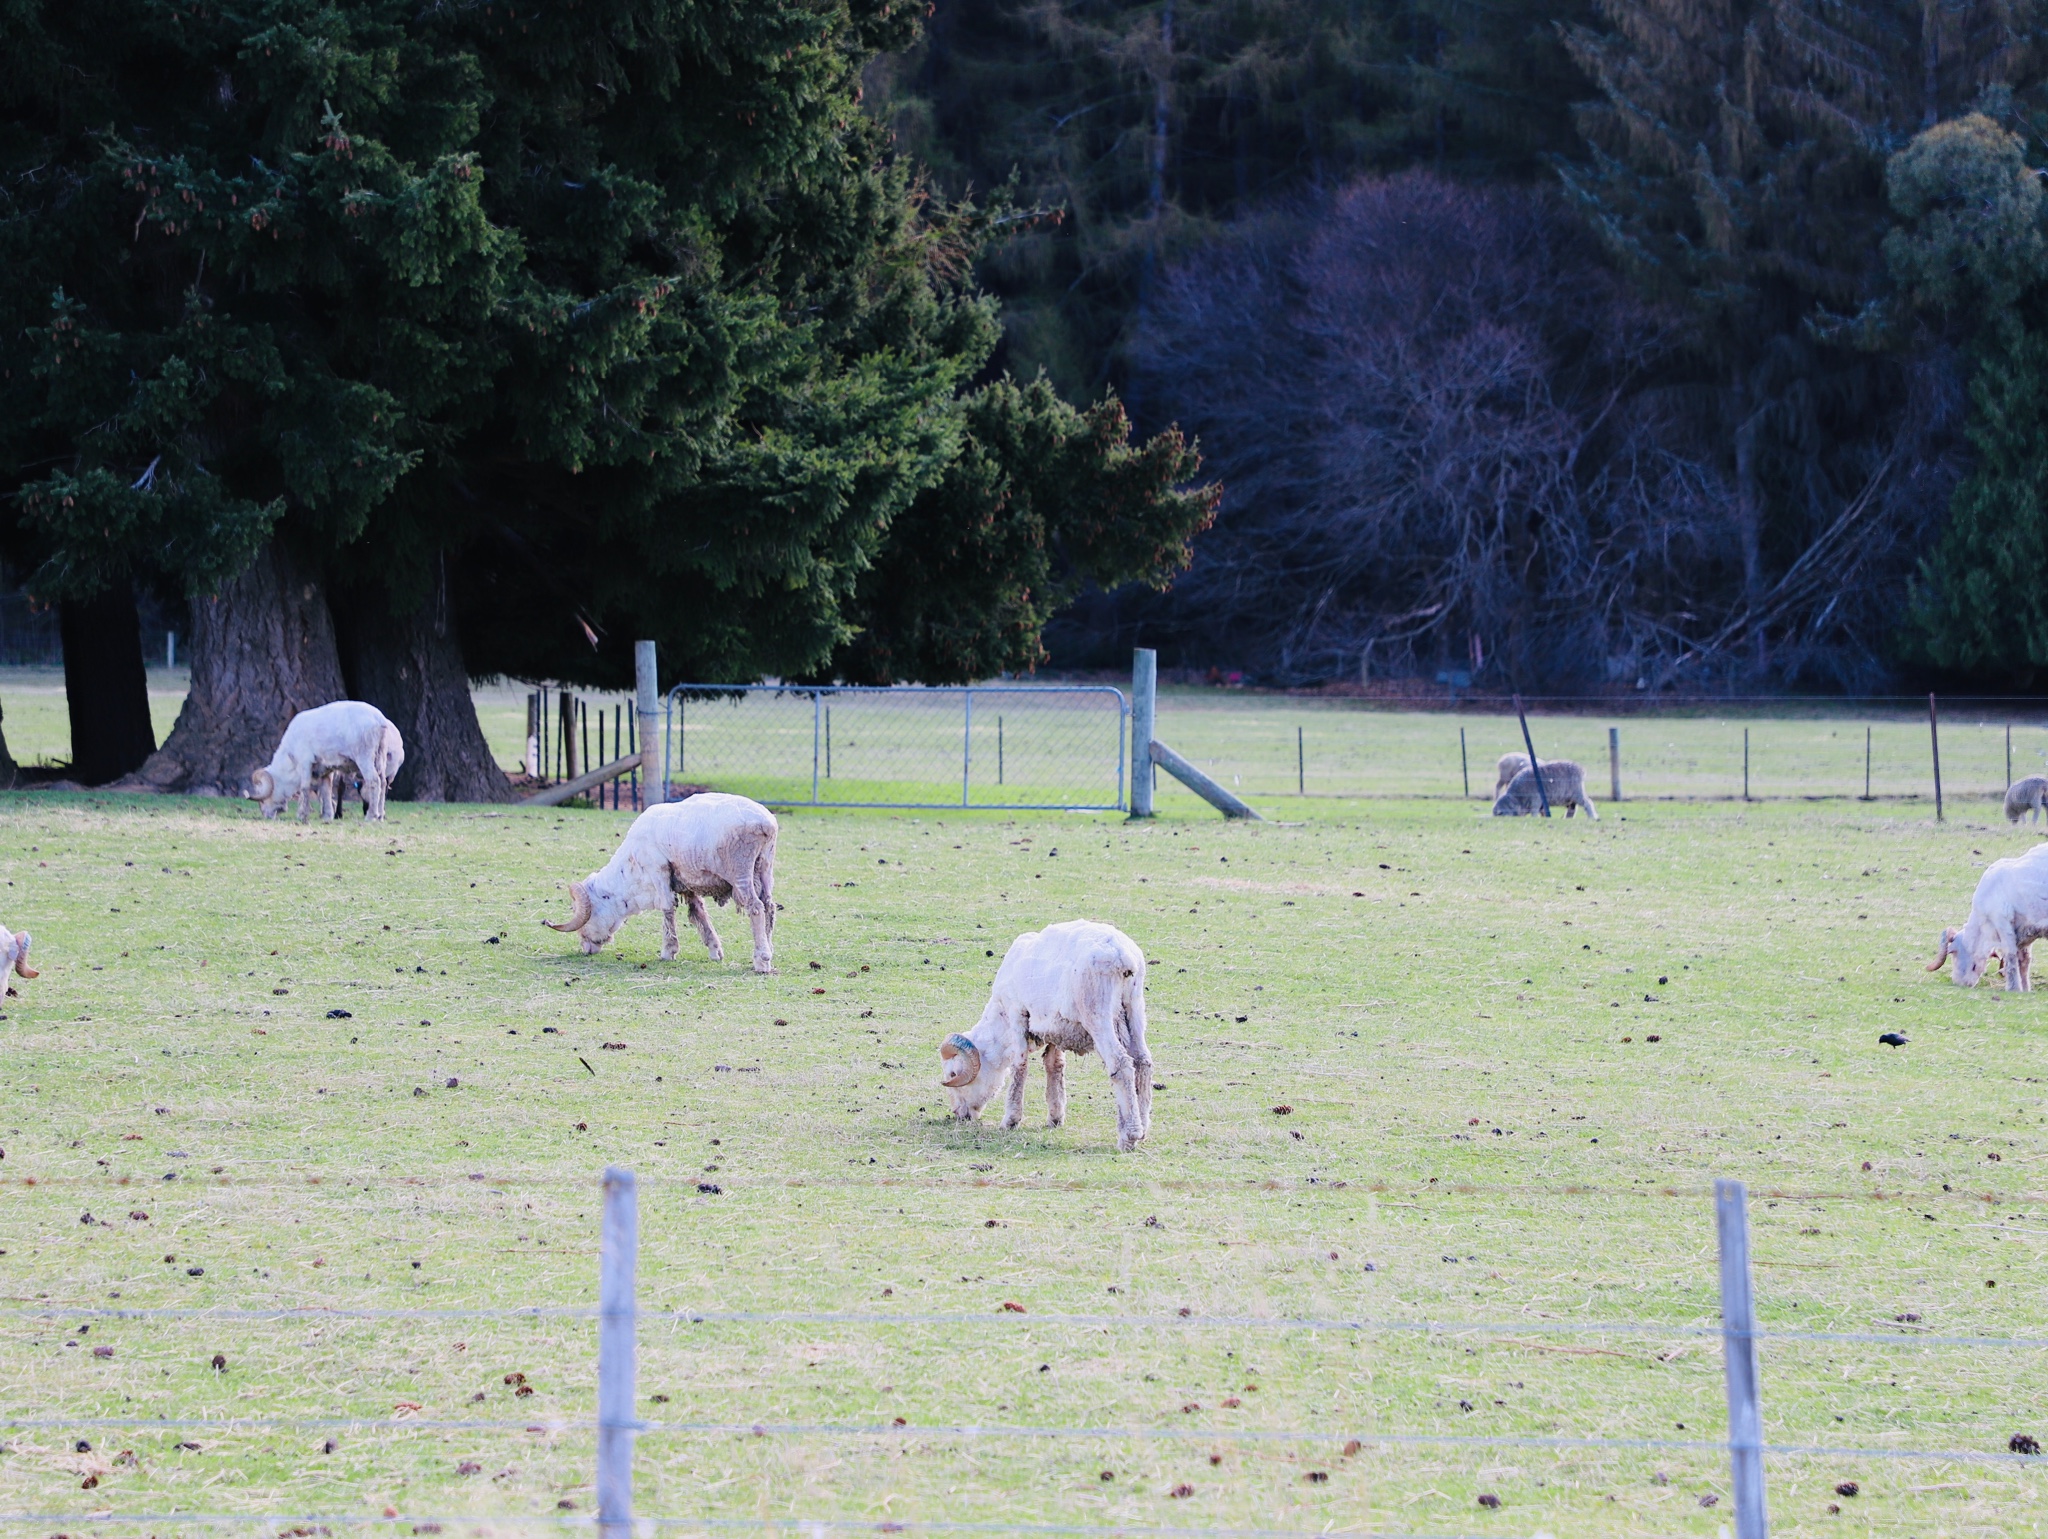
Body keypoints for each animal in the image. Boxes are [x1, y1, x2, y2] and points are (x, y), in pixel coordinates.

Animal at [251, 704, 403, 823]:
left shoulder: (305, 764)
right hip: (380, 760)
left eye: (262, 800)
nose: (266, 816)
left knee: (374, 781)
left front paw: (302, 815)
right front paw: (327, 816)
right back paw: (380, 816)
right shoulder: (326, 771)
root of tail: (379, 720)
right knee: (383, 783)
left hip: (364, 758)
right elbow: (326, 790)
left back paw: (371, 816)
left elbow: (304, 788)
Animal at [544, 795, 774, 975]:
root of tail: (766, 824)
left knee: (756, 907)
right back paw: (770, 949)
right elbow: (698, 912)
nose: (585, 948)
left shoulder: (658, 870)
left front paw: (668, 952)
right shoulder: (685, 882)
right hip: (764, 867)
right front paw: (715, 951)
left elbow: (667, 908)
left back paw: (761, 960)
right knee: (769, 906)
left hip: (740, 870)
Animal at [937, 922, 1155, 1147]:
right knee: (1143, 1061)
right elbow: (1054, 1065)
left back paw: (1129, 1135)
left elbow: (1019, 1065)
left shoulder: (1017, 1012)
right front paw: (1055, 1117)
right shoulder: (1055, 1029)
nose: (959, 1114)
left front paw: (1010, 1120)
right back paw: (1143, 1127)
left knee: (1121, 1063)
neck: (1000, 1020)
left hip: (1097, 1013)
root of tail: (1124, 956)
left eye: (953, 1074)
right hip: (1134, 1008)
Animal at [1925, 836, 2048, 991]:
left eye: (1953, 952)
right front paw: (2025, 989)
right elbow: (2024, 960)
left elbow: (2010, 956)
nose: (1959, 982)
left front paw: (2013, 988)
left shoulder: (2001, 921)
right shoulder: (2026, 929)